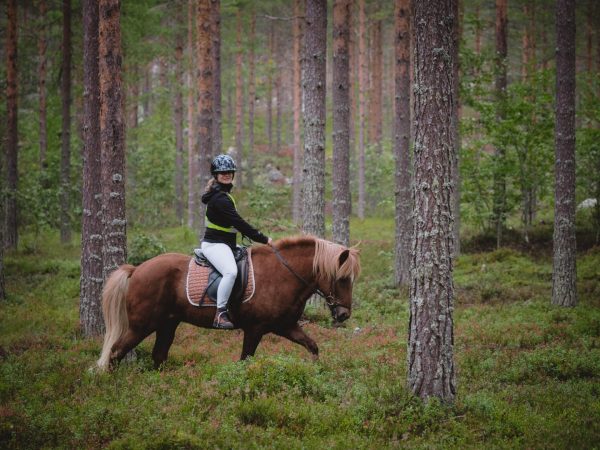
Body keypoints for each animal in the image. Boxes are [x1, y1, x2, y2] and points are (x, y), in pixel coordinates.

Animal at [97, 234, 360, 370]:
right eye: (342, 279)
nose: (344, 315)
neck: (282, 274)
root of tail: (137, 269)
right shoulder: (255, 329)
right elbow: (244, 360)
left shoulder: (285, 326)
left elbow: (312, 346)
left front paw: (316, 371)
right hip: (141, 325)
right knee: (115, 352)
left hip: (167, 324)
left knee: (158, 355)